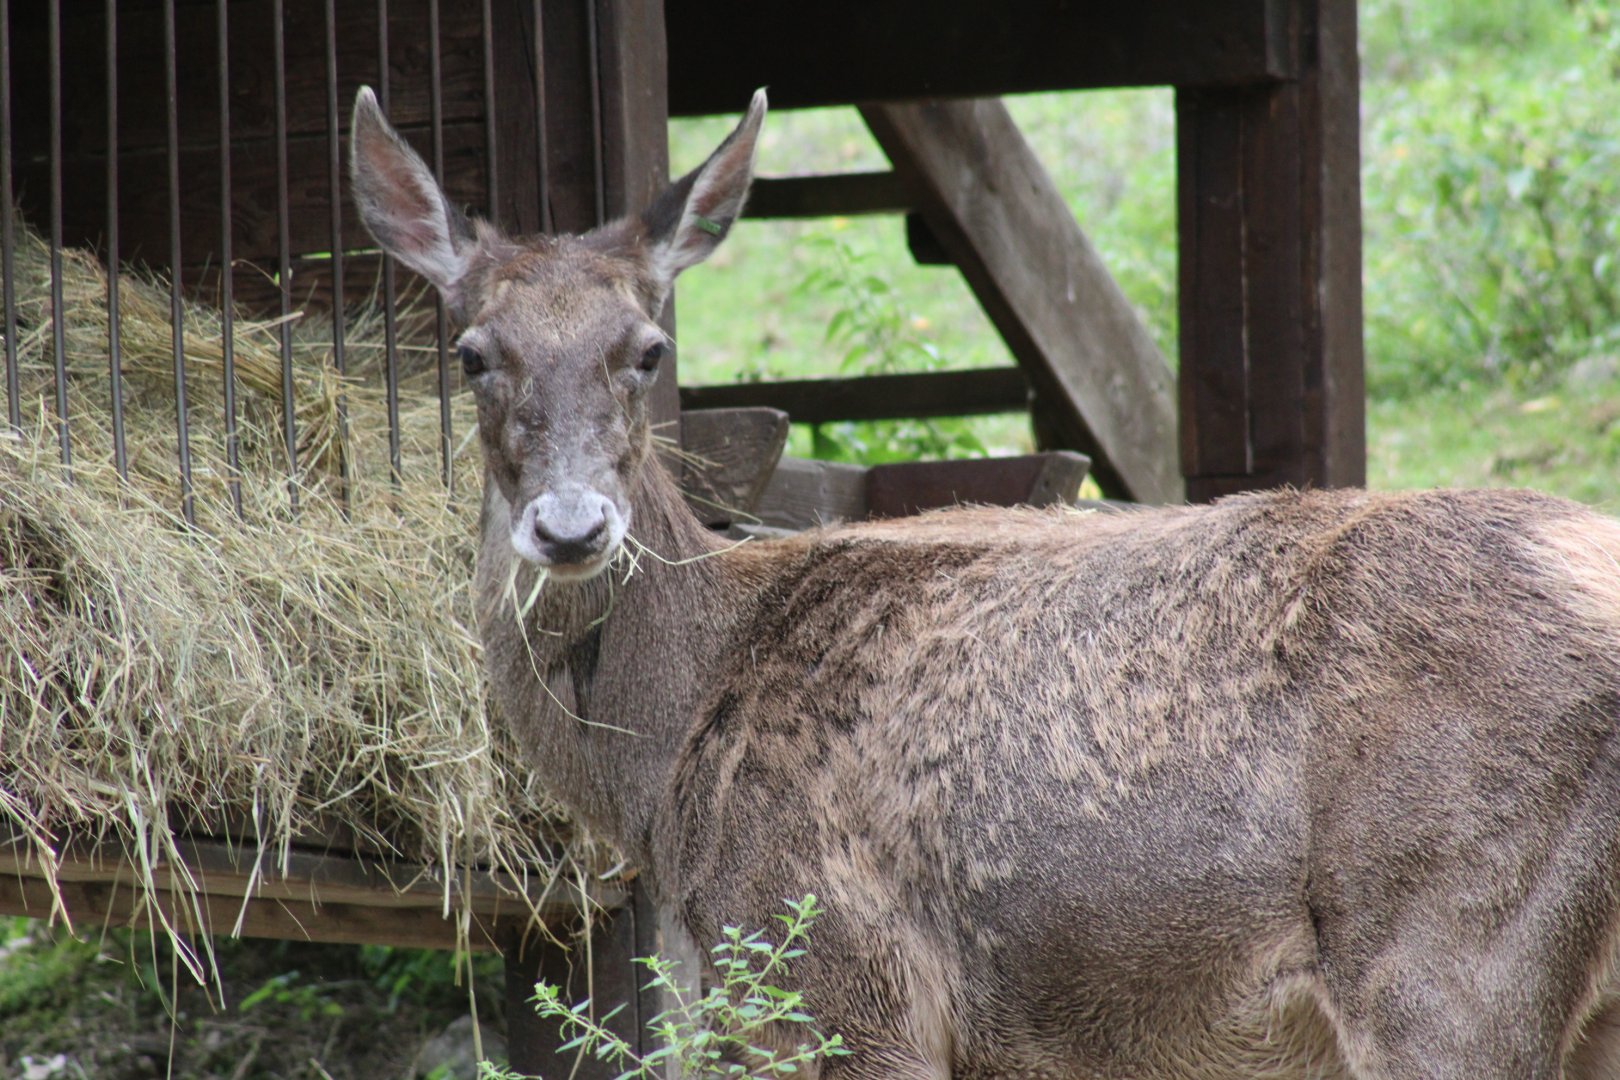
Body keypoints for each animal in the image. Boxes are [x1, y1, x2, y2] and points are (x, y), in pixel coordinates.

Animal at [350, 85, 1620, 1079]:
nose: (570, 526)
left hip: (1449, 942)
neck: (663, 765)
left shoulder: (839, 981)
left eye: (646, 351)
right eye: (472, 353)